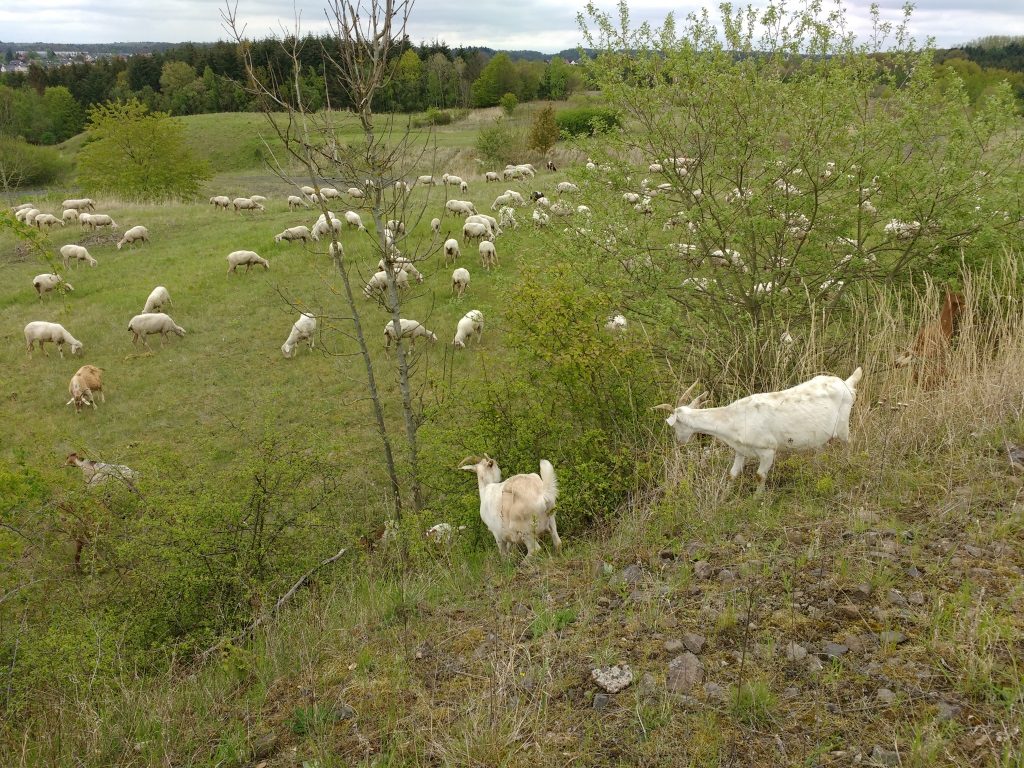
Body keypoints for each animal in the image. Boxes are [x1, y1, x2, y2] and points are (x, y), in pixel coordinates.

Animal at [655, 370, 864, 495]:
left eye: (676, 425)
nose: (679, 441)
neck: (734, 418)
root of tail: (847, 384)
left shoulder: (767, 450)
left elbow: (759, 476)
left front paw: (756, 500)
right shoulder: (740, 449)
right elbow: (732, 474)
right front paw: (725, 496)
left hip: (843, 424)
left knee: (850, 442)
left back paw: (847, 466)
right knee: (821, 449)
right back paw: (816, 471)